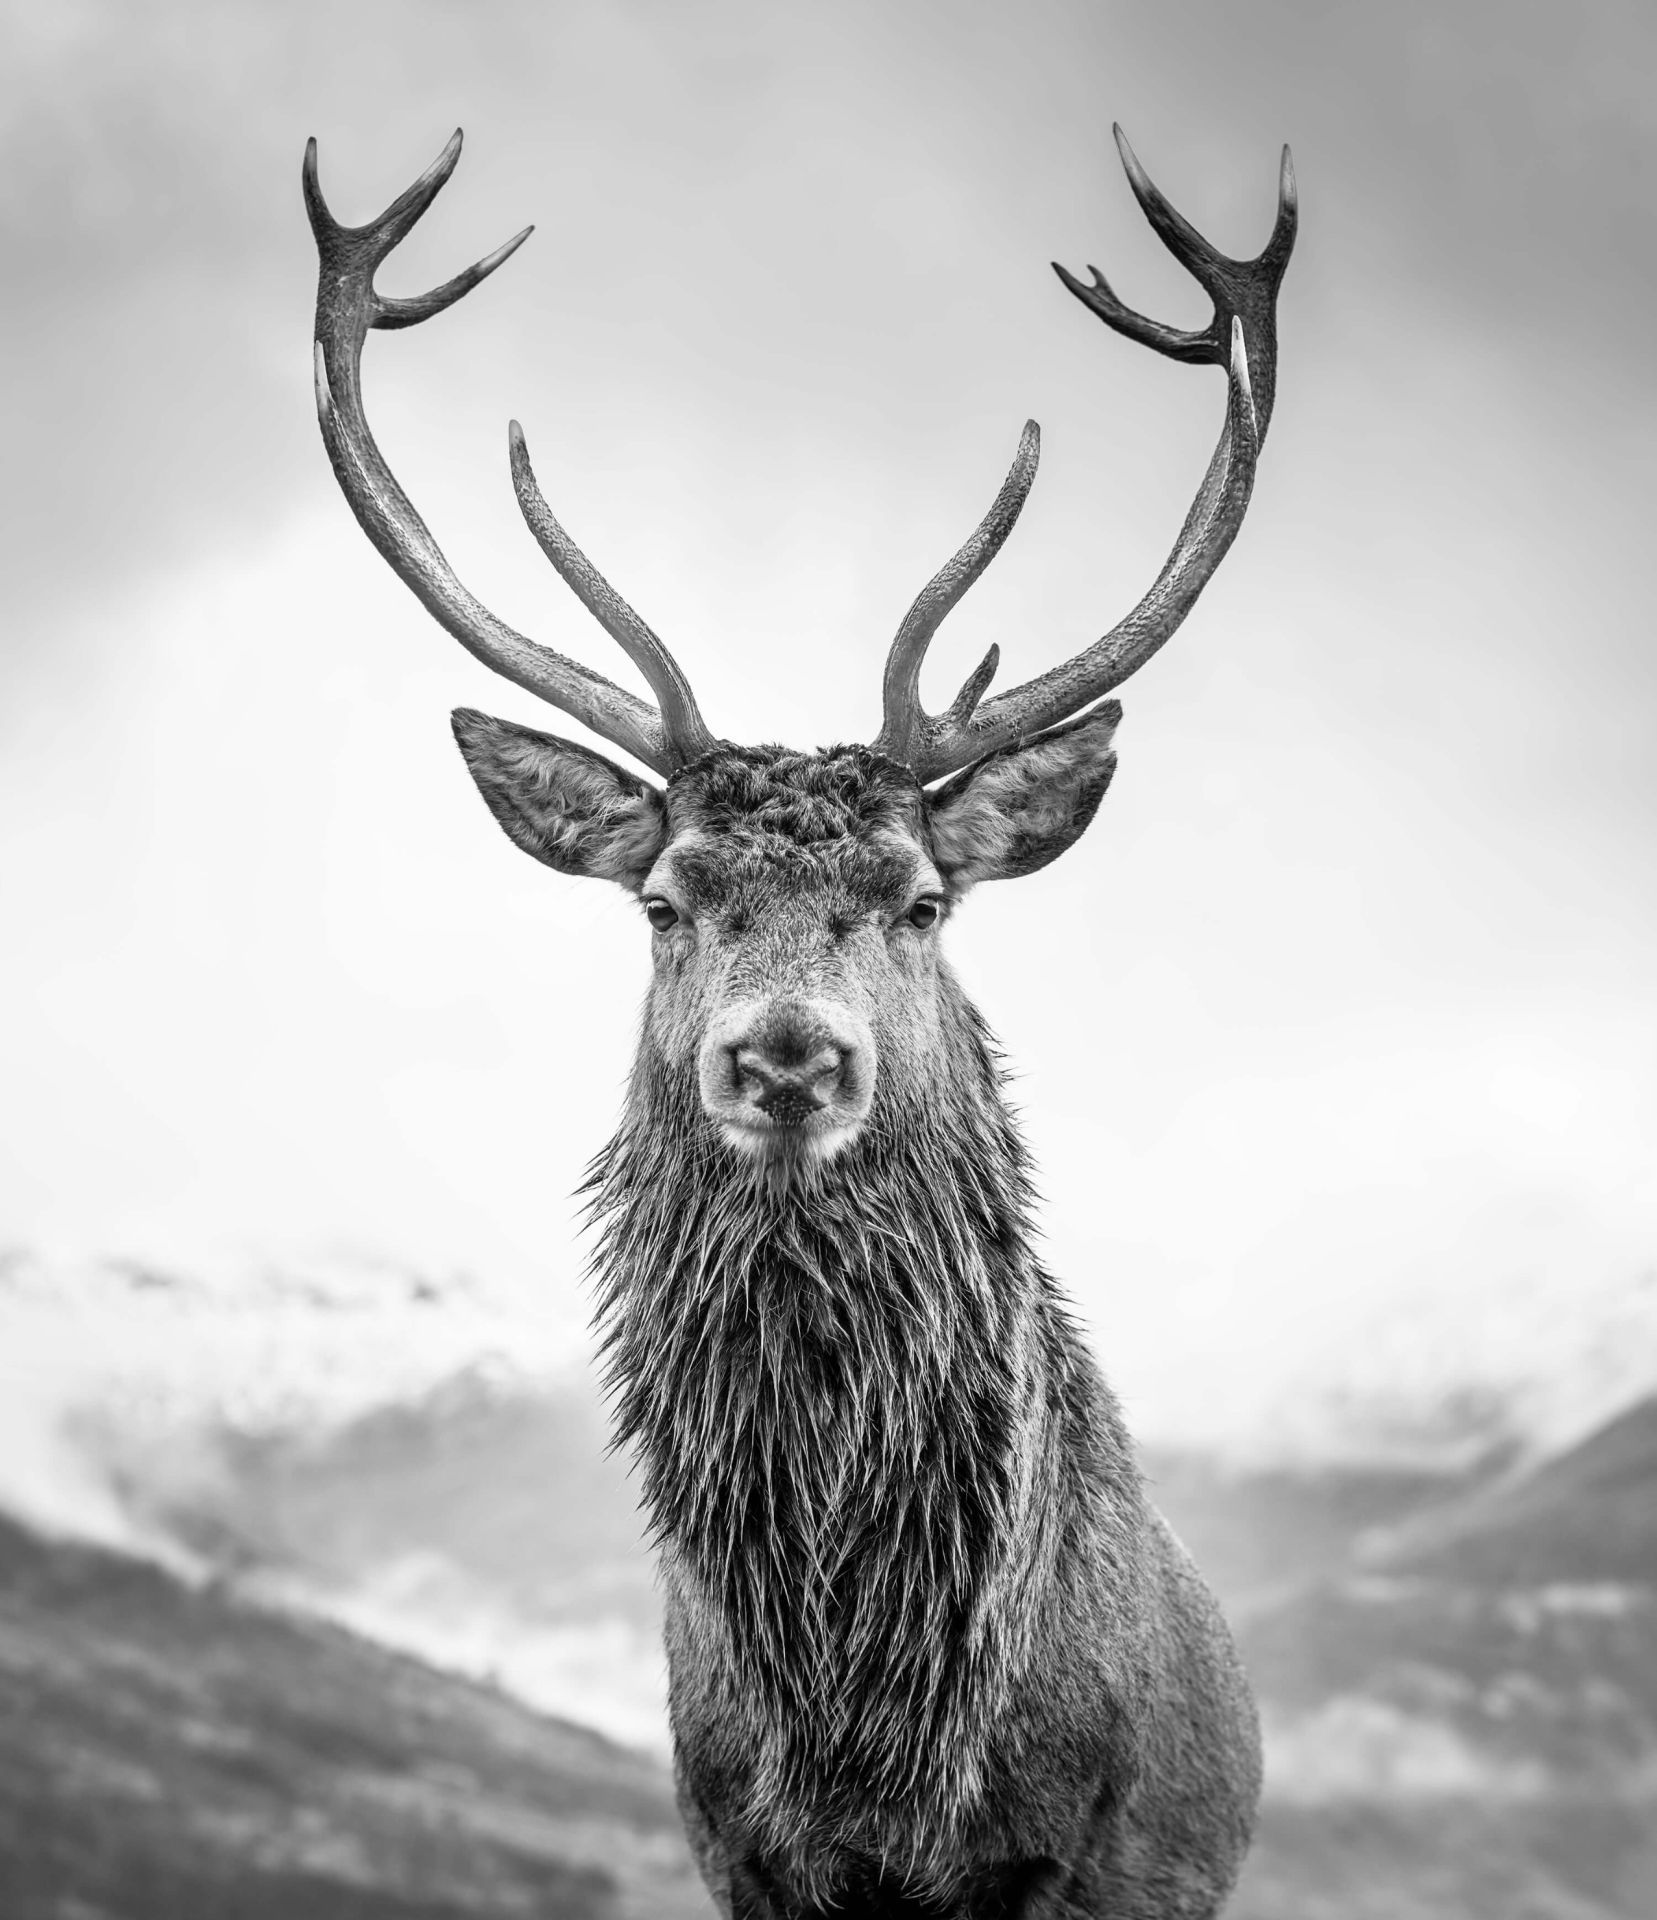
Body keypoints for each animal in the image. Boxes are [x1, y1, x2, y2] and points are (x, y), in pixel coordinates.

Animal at [304, 122, 1295, 1920]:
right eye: (661, 900)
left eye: (920, 901)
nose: (784, 1053)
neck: (866, 1732)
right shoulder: (732, 1843)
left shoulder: (1065, 1847)